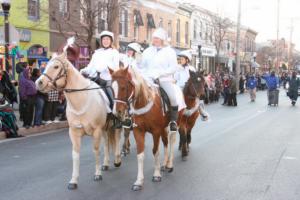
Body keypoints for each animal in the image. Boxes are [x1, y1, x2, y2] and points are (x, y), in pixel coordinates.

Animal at [36, 47, 122, 190]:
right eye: (46, 64)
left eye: (56, 66)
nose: (39, 82)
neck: (82, 100)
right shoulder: (74, 132)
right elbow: (75, 155)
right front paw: (73, 180)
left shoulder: (96, 130)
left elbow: (96, 150)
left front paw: (97, 174)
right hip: (105, 127)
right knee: (107, 142)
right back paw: (106, 164)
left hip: (117, 122)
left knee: (117, 138)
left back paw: (117, 160)